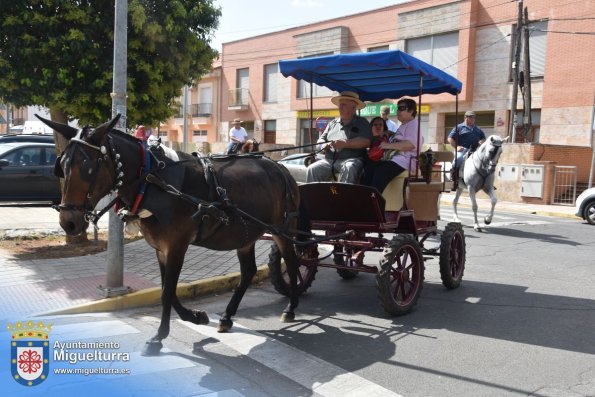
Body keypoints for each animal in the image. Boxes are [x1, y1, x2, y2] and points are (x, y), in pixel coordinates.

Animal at [38, 113, 302, 354]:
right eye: (61, 166)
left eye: (89, 168)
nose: (68, 222)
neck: (152, 182)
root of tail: (280, 166)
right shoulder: (161, 248)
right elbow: (168, 289)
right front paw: (195, 316)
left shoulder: (177, 245)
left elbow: (166, 292)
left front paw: (159, 336)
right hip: (245, 234)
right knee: (248, 271)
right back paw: (227, 316)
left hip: (282, 229)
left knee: (292, 261)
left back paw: (291, 307)